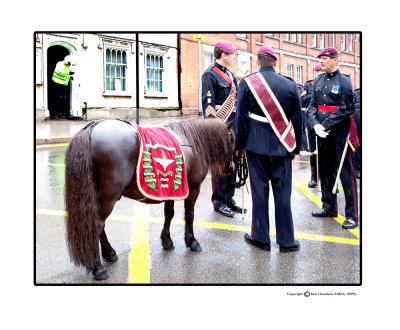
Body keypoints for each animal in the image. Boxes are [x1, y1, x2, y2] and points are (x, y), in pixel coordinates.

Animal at [64, 117, 234, 280]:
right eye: (231, 138)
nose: (231, 169)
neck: (192, 142)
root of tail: (90, 128)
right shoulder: (193, 189)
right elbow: (190, 215)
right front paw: (192, 241)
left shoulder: (170, 189)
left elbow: (169, 214)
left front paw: (167, 241)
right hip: (108, 198)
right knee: (97, 225)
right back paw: (98, 267)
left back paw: (109, 253)